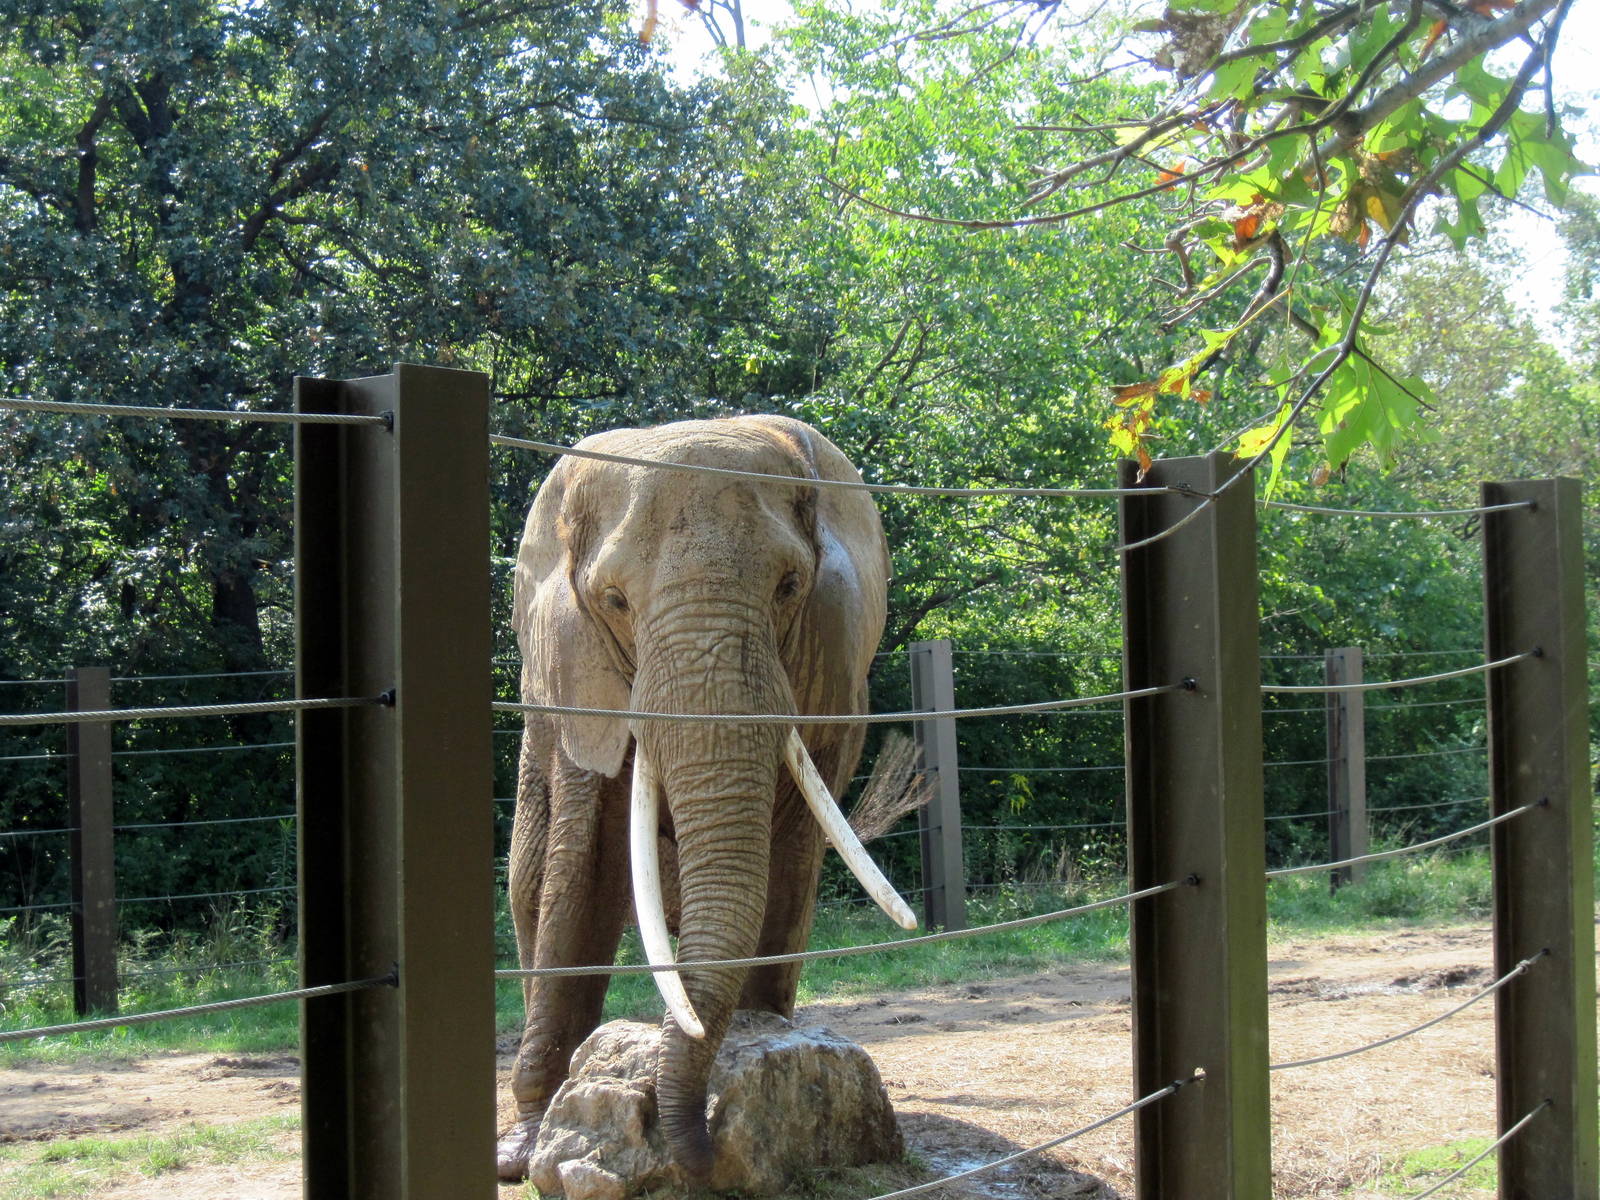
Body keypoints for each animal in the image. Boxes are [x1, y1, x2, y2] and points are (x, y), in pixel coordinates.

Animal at [495, 415, 915, 1184]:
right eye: (614, 601)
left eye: (789, 585)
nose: (702, 1145)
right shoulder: (581, 677)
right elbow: (585, 864)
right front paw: (531, 1153)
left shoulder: (830, 671)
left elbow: (791, 848)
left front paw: (765, 1059)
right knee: (531, 878)